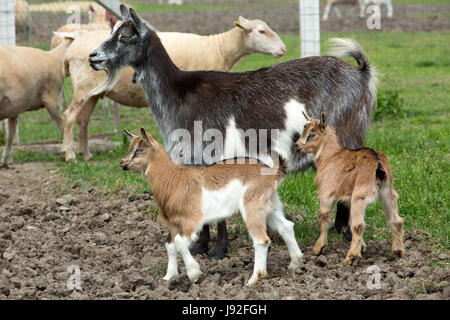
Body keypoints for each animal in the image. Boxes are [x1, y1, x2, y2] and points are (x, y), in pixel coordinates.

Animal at [0, 32, 80, 168]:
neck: (56, 58)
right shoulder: (51, 96)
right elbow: (62, 124)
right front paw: (69, 153)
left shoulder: (14, 105)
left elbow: (11, 133)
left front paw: (6, 159)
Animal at [59, 16, 286, 161]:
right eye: (261, 31)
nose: (283, 49)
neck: (219, 47)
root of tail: (72, 44)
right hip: (83, 88)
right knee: (69, 117)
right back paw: (70, 155)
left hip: (92, 93)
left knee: (83, 120)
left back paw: (86, 153)